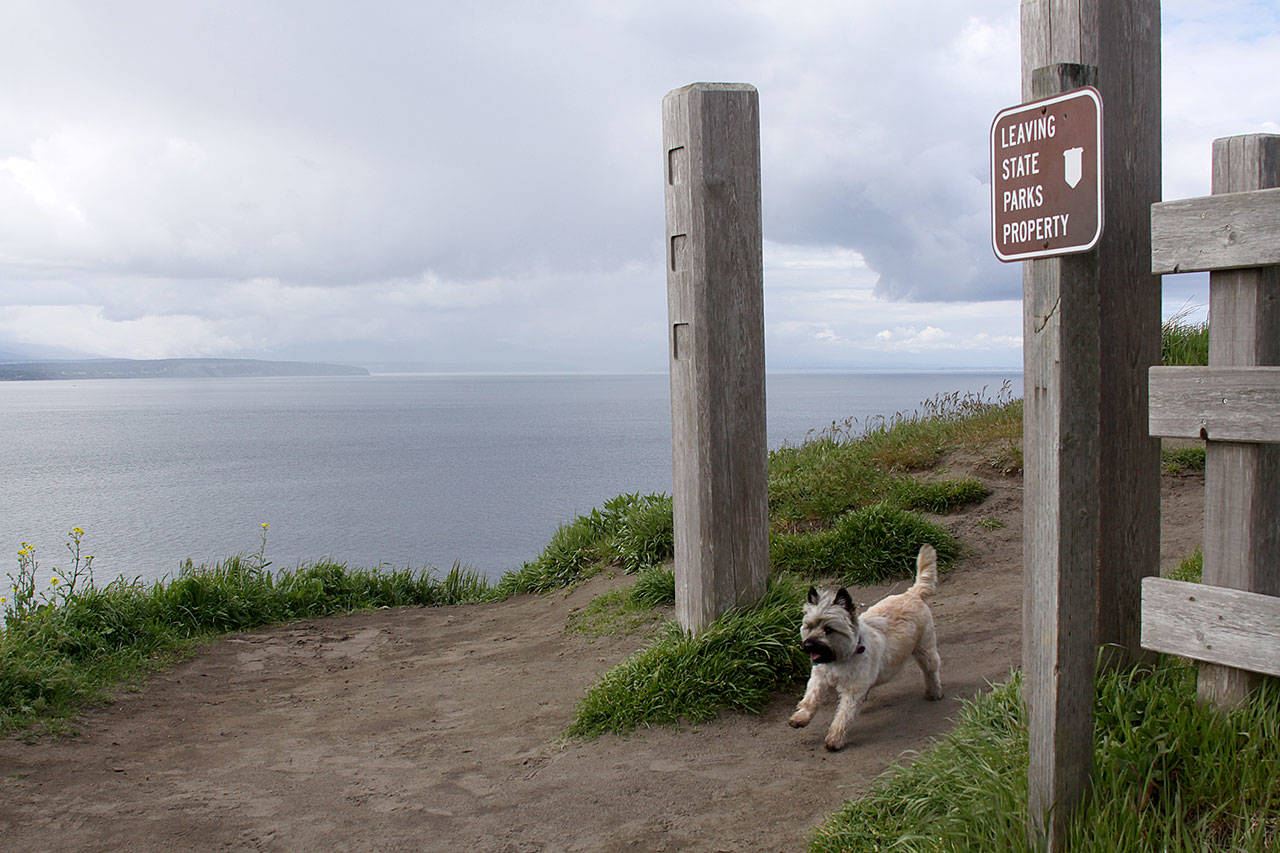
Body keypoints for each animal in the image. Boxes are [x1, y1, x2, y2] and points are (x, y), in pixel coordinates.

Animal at [783, 540, 947, 747]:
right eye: (809, 626)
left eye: (828, 629)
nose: (808, 645)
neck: (840, 657)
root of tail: (912, 594)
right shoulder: (819, 677)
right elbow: (811, 698)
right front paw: (801, 717)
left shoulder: (852, 691)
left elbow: (844, 715)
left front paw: (835, 739)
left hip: (925, 649)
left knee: (931, 671)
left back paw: (934, 692)